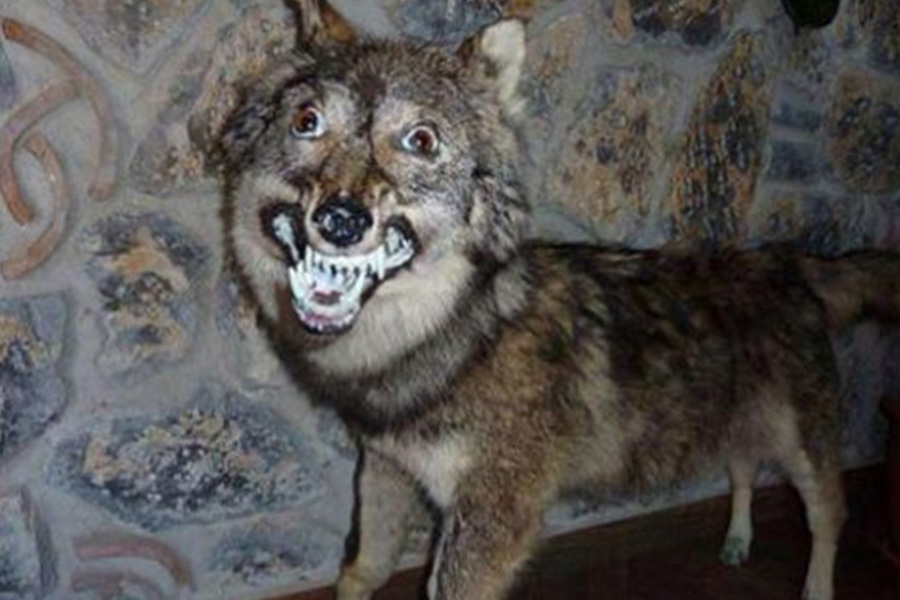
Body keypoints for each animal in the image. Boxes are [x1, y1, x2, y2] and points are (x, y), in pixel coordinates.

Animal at [217, 2, 900, 599]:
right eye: (307, 122)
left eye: (421, 140)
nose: (340, 220)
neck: (459, 337)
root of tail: (782, 261)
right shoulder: (387, 471)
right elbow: (360, 572)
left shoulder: (493, 518)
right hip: (735, 425)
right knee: (742, 469)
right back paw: (736, 542)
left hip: (805, 452)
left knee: (828, 518)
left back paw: (815, 587)